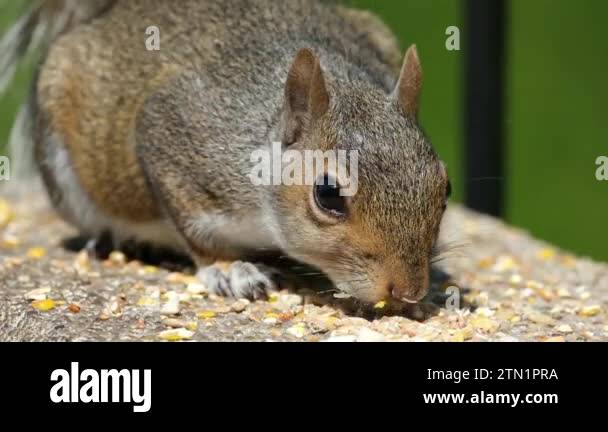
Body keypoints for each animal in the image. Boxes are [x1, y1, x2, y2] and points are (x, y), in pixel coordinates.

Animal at [1, 0, 452, 306]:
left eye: (445, 188)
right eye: (327, 194)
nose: (408, 290)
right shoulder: (175, 134)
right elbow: (198, 230)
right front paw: (228, 269)